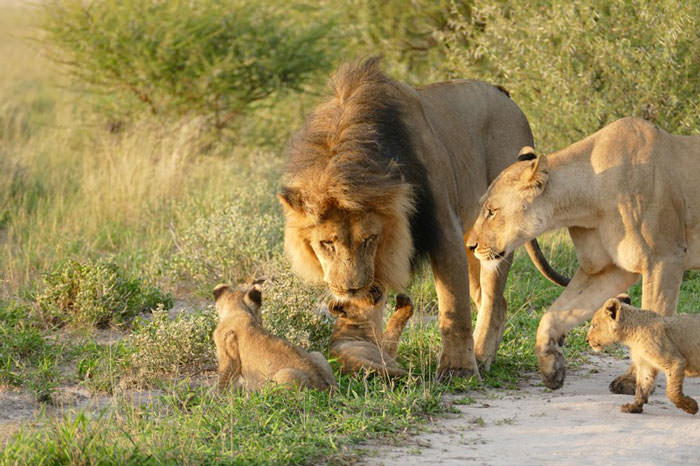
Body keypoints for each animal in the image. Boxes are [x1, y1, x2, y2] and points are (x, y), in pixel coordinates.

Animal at [276, 58, 568, 378]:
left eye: (370, 239)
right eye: (326, 243)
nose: (351, 288)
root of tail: (505, 95)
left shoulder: (444, 228)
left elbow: (453, 308)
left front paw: (458, 371)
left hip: (497, 232)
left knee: (492, 298)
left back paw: (479, 358)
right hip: (475, 239)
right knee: (497, 301)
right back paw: (485, 357)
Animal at [468, 115, 700, 390]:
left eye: (492, 211)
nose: (470, 246)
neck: (586, 202)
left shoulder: (664, 259)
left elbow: (649, 325)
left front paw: (633, 382)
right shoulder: (607, 269)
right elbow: (554, 314)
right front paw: (552, 366)